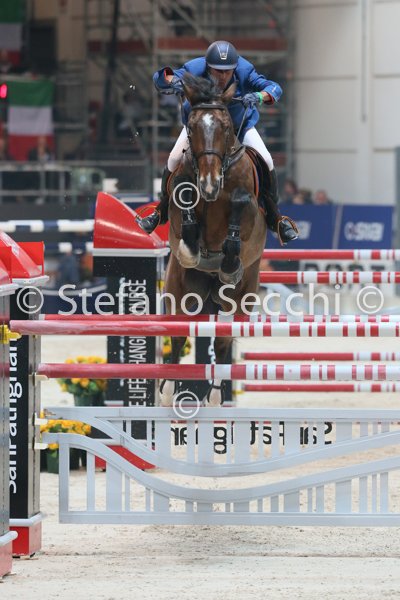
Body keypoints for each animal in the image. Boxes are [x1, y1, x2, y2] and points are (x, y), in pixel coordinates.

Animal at [160, 73, 267, 407]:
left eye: (226, 127)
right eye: (192, 127)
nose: (209, 184)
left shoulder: (249, 210)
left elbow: (239, 207)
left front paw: (229, 262)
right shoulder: (180, 197)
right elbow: (183, 198)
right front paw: (192, 248)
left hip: (240, 298)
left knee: (221, 342)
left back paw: (218, 396)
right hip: (179, 290)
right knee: (177, 333)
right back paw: (167, 390)